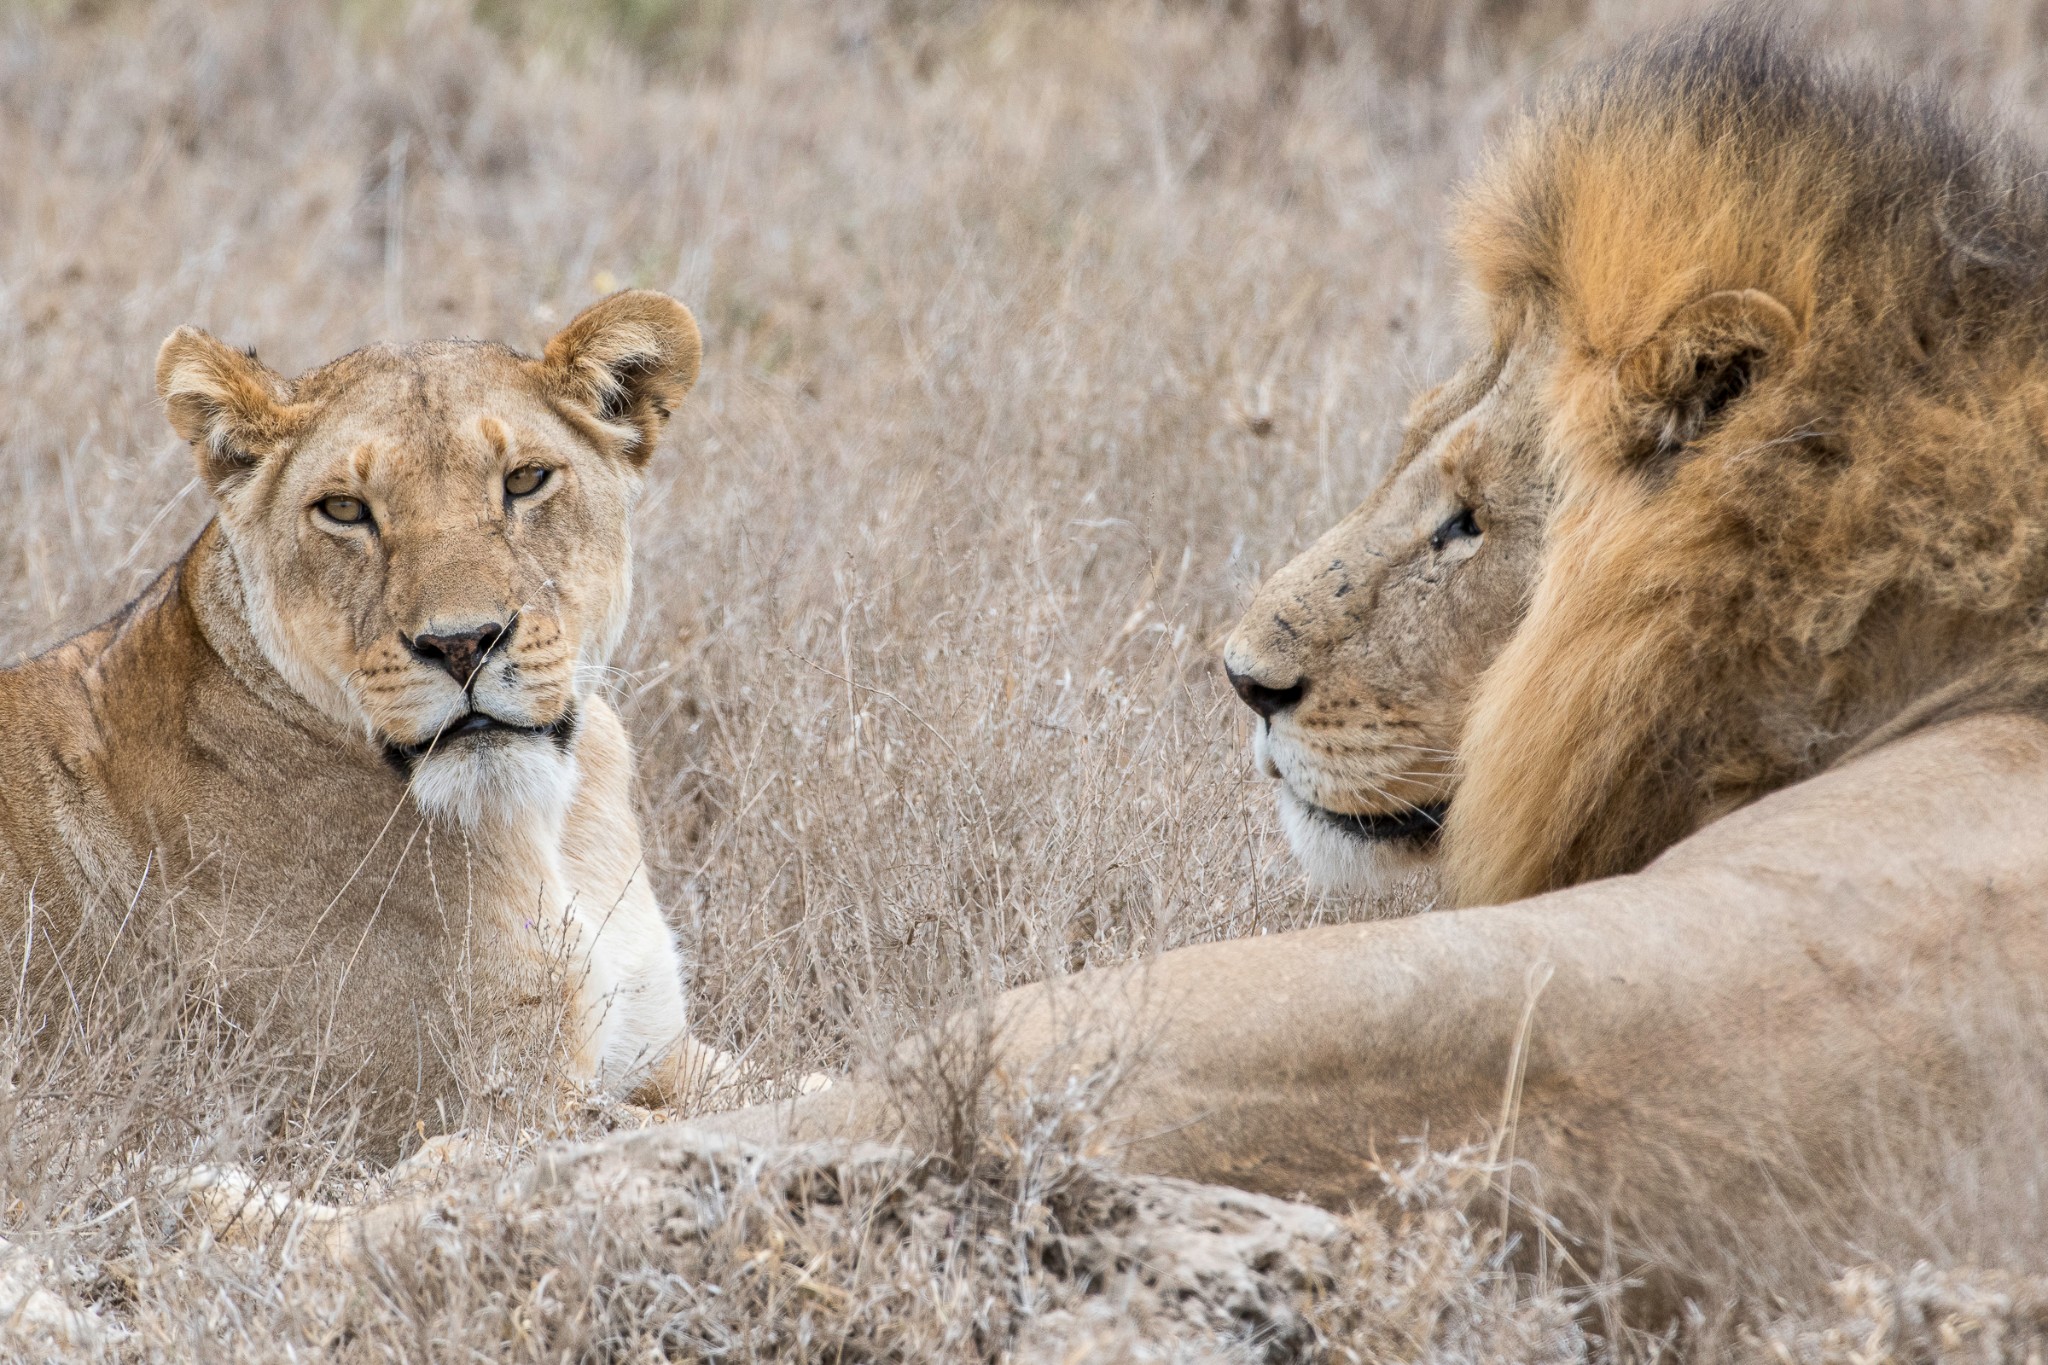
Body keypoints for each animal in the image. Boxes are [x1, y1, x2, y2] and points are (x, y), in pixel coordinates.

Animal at [0, 290, 737, 1154]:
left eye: (525, 480)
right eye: (346, 510)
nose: (462, 643)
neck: (549, 818)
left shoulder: (660, 1047)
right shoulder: (472, 1113)